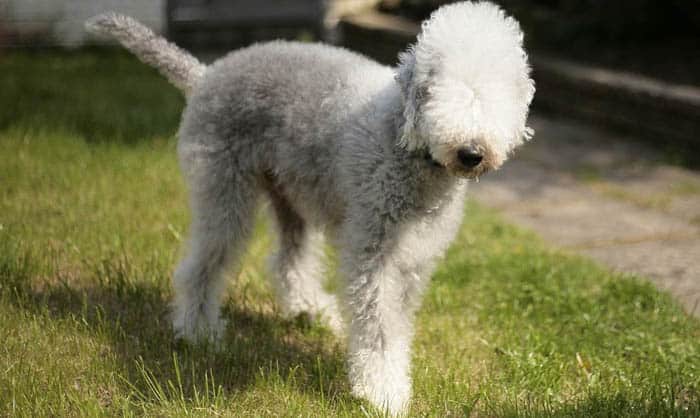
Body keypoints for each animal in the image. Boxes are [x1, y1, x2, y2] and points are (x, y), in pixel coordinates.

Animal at [85, 2, 532, 414]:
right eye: (434, 85)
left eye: (503, 88)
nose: (471, 152)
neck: (405, 147)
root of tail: (206, 74)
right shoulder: (373, 251)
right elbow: (379, 326)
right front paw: (383, 393)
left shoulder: (415, 259)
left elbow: (397, 324)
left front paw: (392, 380)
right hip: (223, 187)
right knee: (202, 265)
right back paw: (198, 332)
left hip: (291, 192)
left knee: (289, 260)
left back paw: (309, 310)